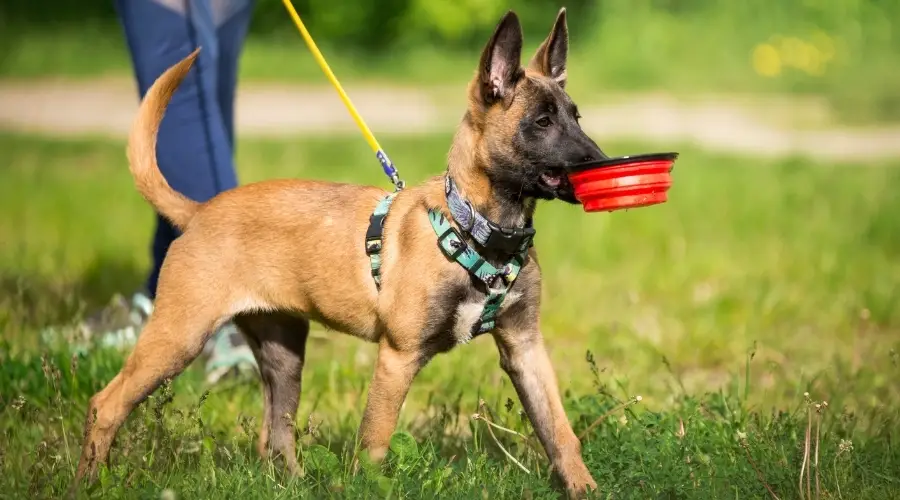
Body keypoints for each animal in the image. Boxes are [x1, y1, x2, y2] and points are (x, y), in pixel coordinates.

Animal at [75, 7, 604, 500]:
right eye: (541, 122)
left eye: (575, 117)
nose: (601, 160)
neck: (476, 230)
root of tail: (200, 211)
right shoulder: (397, 358)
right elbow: (374, 445)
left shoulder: (525, 348)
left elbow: (560, 433)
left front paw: (584, 487)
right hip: (179, 336)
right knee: (107, 403)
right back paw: (88, 481)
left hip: (284, 354)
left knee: (275, 437)